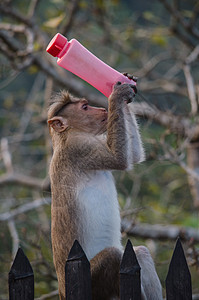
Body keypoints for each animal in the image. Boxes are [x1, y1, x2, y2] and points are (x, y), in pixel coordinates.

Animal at [47, 82, 162, 300]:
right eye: (85, 107)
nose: (102, 109)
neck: (68, 135)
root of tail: (63, 291)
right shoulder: (80, 148)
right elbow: (120, 160)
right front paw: (117, 95)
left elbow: (133, 156)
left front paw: (125, 89)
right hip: (91, 282)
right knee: (113, 255)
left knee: (140, 252)